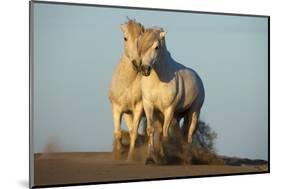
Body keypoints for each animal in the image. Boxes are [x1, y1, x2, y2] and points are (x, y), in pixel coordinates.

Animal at [108, 19, 144, 159]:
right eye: (125, 38)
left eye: (141, 37)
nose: (137, 63)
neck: (127, 82)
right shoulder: (118, 108)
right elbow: (118, 132)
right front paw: (120, 152)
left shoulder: (139, 107)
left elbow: (134, 133)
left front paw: (130, 158)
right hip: (128, 114)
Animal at [137, 27, 205, 162]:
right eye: (141, 45)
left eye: (157, 47)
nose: (145, 69)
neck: (158, 80)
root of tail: (198, 78)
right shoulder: (149, 106)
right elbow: (151, 130)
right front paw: (150, 157)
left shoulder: (169, 109)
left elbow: (165, 133)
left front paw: (164, 157)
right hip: (178, 115)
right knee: (181, 132)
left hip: (194, 111)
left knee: (190, 133)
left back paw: (188, 158)